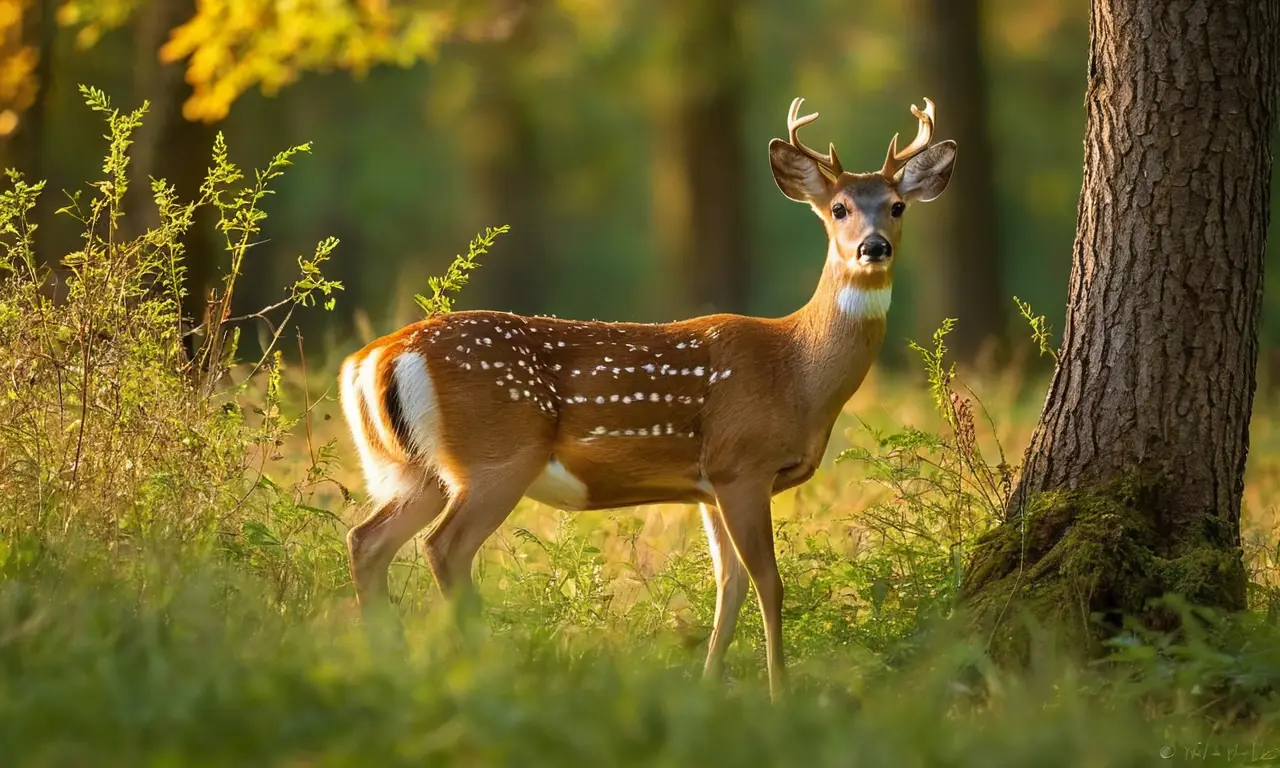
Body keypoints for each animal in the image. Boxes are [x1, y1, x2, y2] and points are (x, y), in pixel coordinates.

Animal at [338, 97, 956, 699]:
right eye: (839, 209)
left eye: (897, 206)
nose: (873, 248)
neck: (797, 372)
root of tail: (373, 359)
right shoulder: (742, 464)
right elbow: (769, 583)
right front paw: (781, 694)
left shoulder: (709, 487)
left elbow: (728, 587)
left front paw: (708, 686)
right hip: (495, 456)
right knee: (444, 548)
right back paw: (484, 671)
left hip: (413, 470)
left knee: (366, 540)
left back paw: (386, 664)